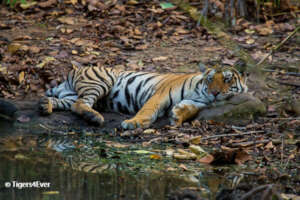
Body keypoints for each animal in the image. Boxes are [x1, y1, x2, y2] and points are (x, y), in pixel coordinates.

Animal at [39, 64, 248, 130]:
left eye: (227, 79)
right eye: (211, 79)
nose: (215, 92)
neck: (201, 92)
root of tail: (73, 71)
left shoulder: (198, 103)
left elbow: (189, 108)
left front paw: (177, 116)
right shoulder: (160, 94)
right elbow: (148, 110)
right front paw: (133, 123)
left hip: (70, 95)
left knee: (68, 103)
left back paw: (45, 105)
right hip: (101, 80)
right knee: (80, 104)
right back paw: (94, 117)